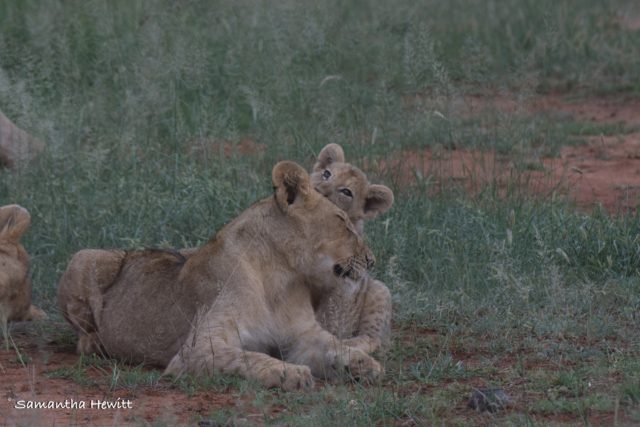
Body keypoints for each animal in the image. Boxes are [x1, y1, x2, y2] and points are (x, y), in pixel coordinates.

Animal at [58, 161, 382, 390]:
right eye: (342, 223)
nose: (372, 260)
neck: (280, 278)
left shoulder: (302, 336)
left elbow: (334, 345)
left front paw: (365, 364)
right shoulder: (197, 349)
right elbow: (247, 357)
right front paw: (288, 373)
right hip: (82, 256)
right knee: (82, 337)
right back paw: (98, 344)